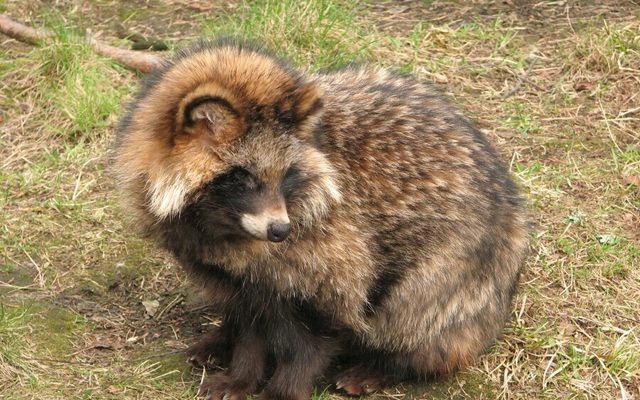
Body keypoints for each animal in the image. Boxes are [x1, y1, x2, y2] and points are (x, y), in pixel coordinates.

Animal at [113, 39, 529, 400]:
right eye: (243, 176)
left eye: (287, 174)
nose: (281, 230)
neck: (219, 224)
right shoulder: (233, 270)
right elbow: (250, 323)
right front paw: (242, 371)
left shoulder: (336, 251)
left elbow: (319, 331)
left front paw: (283, 389)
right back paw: (221, 337)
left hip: (451, 272)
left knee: (411, 317)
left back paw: (389, 364)